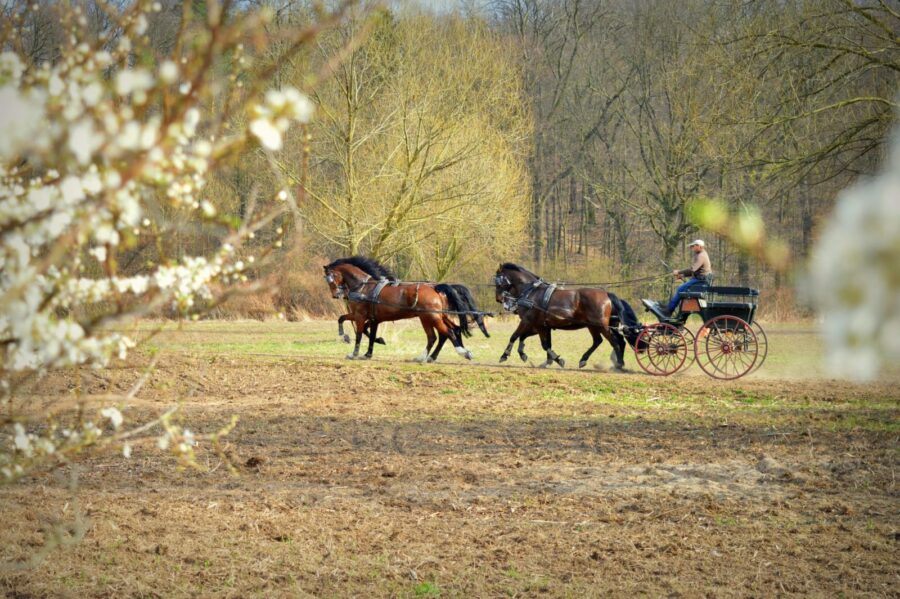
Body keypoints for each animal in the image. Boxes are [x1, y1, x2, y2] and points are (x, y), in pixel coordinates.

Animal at [326, 256, 478, 364]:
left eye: (330, 278)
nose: (335, 295)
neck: (363, 287)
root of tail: (436, 287)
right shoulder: (372, 318)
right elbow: (348, 322)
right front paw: (369, 351)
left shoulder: (360, 316)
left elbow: (358, 333)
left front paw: (354, 353)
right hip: (436, 316)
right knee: (446, 333)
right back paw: (428, 357)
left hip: (431, 317)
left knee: (445, 333)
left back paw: (460, 352)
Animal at [496, 264, 636, 370]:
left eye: (498, 281)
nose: (499, 299)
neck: (531, 293)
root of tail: (607, 294)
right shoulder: (541, 326)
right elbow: (537, 341)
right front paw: (545, 360)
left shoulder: (529, 322)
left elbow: (517, 337)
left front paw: (504, 355)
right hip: (595, 326)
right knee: (605, 341)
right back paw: (587, 360)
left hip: (601, 325)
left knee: (614, 342)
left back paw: (618, 364)